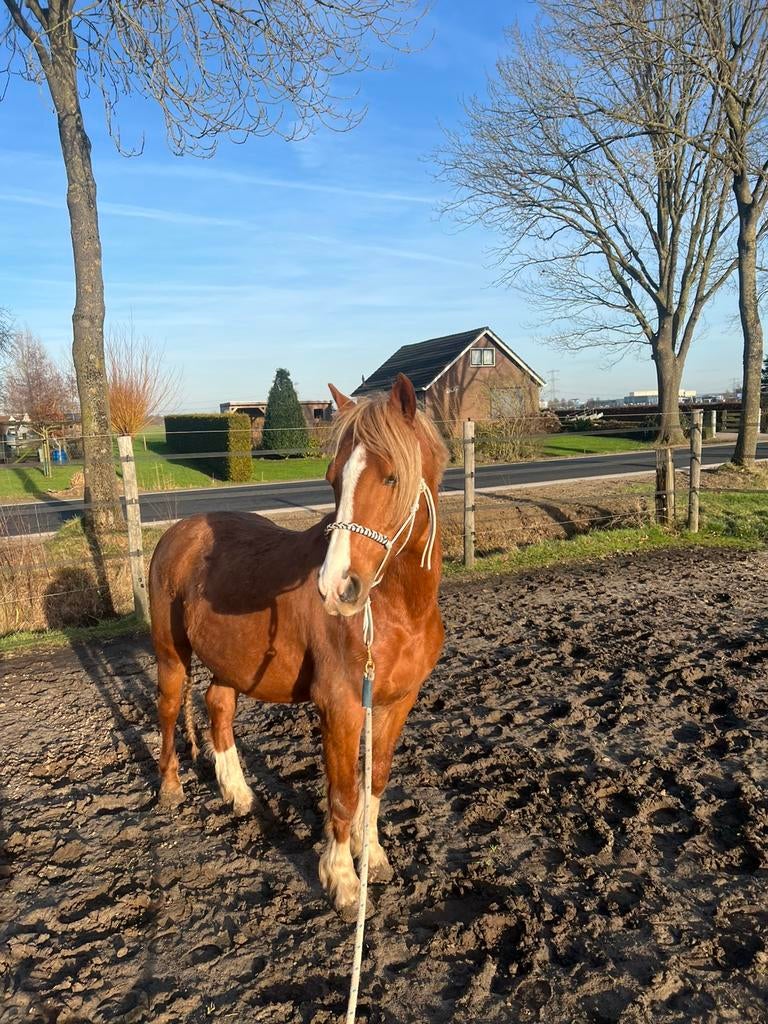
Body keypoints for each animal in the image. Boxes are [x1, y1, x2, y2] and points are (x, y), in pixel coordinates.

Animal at [148, 373, 448, 917]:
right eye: (332, 479)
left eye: (392, 478)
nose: (337, 587)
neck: (396, 610)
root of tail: (178, 531)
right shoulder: (340, 707)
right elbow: (344, 793)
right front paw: (342, 881)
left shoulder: (397, 702)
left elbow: (375, 781)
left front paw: (372, 858)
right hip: (170, 655)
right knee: (168, 710)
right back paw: (171, 789)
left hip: (233, 661)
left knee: (217, 704)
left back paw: (238, 793)